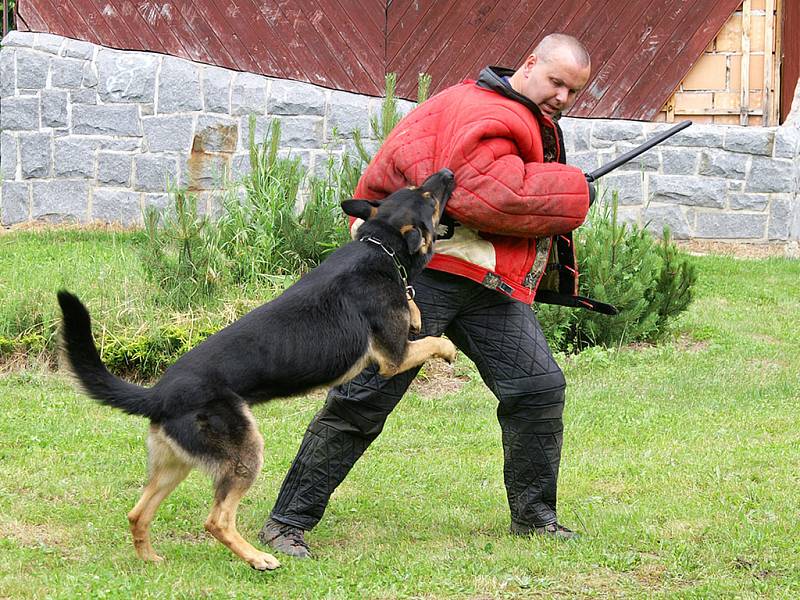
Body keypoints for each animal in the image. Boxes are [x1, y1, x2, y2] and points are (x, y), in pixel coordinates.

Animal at [57, 168, 456, 568]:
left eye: (419, 187)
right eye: (428, 196)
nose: (448, 172)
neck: (380, 243)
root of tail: (158, 394)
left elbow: (415, 313)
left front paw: (415, 311)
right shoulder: (393, 358)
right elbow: (430, 342)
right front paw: (448, 348)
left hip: (175, 465)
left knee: (137, 513)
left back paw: (150, 558)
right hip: (244, 453)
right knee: (216, 520)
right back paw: (257, 558)